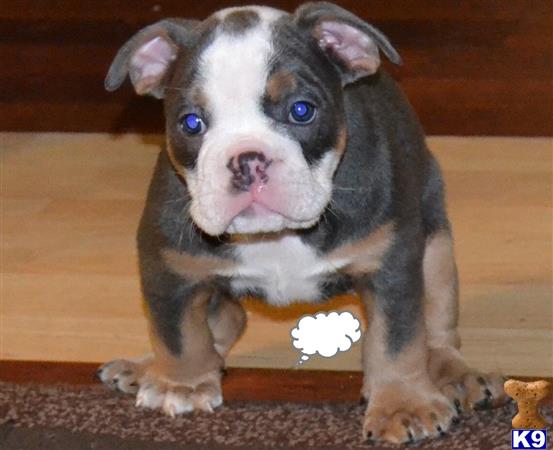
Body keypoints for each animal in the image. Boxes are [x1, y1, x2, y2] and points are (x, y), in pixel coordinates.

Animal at [97, 2, 506, 442]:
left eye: (301, 110)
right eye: (191, 123)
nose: (248, 160)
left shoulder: (391, 264)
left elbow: (396, 339)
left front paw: (404, 405)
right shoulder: (168, 265)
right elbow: (177, 334)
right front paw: (181, 384)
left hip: (436, 246)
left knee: (438, 325)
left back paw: (456, 376)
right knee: (226, 319)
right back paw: (144, 368)